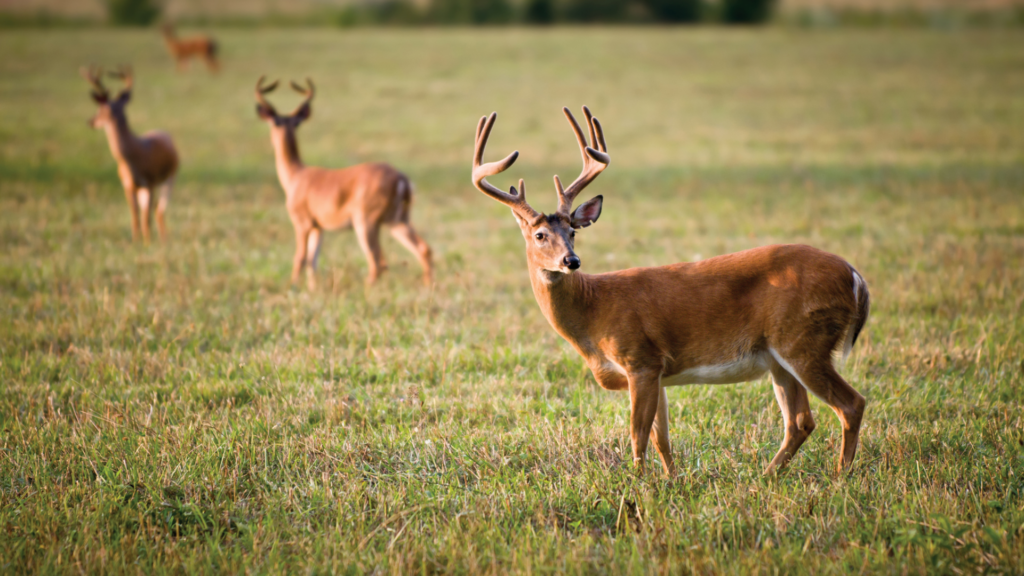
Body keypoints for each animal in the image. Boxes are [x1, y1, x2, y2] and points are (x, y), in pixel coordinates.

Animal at [82, 65, 178, 244]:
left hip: (169, 178)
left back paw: (163, 239)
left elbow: (146, 217)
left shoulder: (150, 182)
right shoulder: (127, 185)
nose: (90, 121)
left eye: (101, 109)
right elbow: (135, 215)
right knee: (151, 210)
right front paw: (135, 241)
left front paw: (148, 243)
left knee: (158, 210)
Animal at [255, 76, 433, 289]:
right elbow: (312, 260)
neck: (295, 175)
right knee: (423, 249)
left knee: (378, 262)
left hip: (365, 221)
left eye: (276, 122)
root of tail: (402, 179)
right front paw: (312, 289)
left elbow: (300, 258)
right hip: (397, 220)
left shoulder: (302, 222)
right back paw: (428, 285)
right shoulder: (319, 227)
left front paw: (294, 287)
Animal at [472, 107, 870, 477]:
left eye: (573, 231)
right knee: (801, 421)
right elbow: (661, 437)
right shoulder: (657, 371)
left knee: (851, 404)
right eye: (540, 235)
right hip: (779, 357)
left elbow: (637, 435)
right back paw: (767, 476)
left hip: (804, 341)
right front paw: (671, 481)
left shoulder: (640, 359)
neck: (593, 310)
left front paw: (637, 484)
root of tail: (855, 276)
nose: (571, 261)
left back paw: (840, 477)